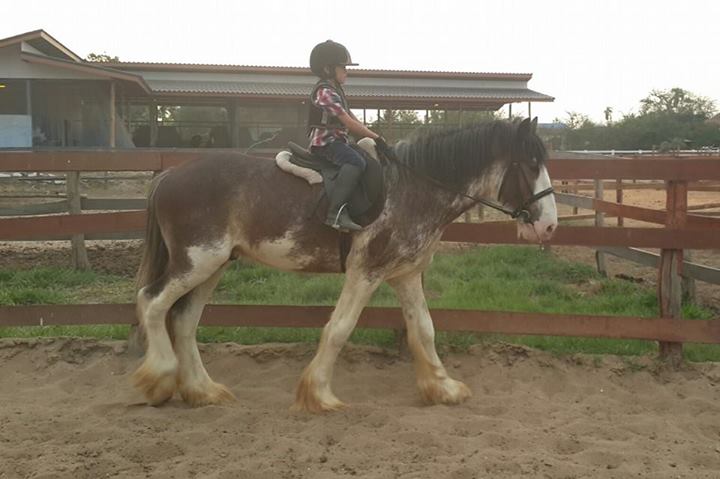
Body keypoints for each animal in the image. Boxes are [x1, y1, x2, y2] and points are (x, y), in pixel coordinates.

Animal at [132, 117, 558, 412]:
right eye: (530, 164)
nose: (550, 225)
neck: (413, 188)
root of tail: (171, 175)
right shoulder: (365, 272)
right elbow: (339, 329)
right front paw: (319, 395)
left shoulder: (405, 275)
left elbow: (424, 330)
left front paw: (444, 388)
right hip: (196, 262)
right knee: (151, 302)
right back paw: (159, 380)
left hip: (212, 266)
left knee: (184, 320)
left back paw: (203, 392)